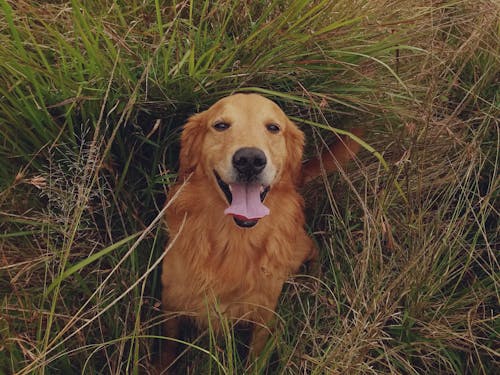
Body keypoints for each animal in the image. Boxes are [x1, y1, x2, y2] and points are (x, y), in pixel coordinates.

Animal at [160, 93, 360, 370]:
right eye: (220, 125)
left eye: (273, 127)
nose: (250, 160)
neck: (234, 239)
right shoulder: (171, 301)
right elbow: (167, 347)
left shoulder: (263, 312)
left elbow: (255, 355)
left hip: (297, 249)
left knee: (314, 247)